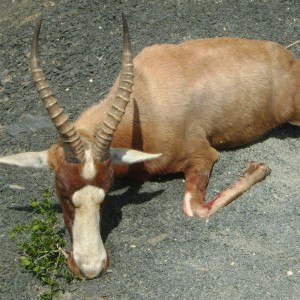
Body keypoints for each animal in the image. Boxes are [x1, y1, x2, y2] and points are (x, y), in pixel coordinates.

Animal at [0, 14, 298, 278]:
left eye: (104, 194)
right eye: (62, 192)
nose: (90, 269)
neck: (144, 101)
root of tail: (287, 57)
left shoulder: (202, 156)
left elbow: (195, 209)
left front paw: (258, 168)